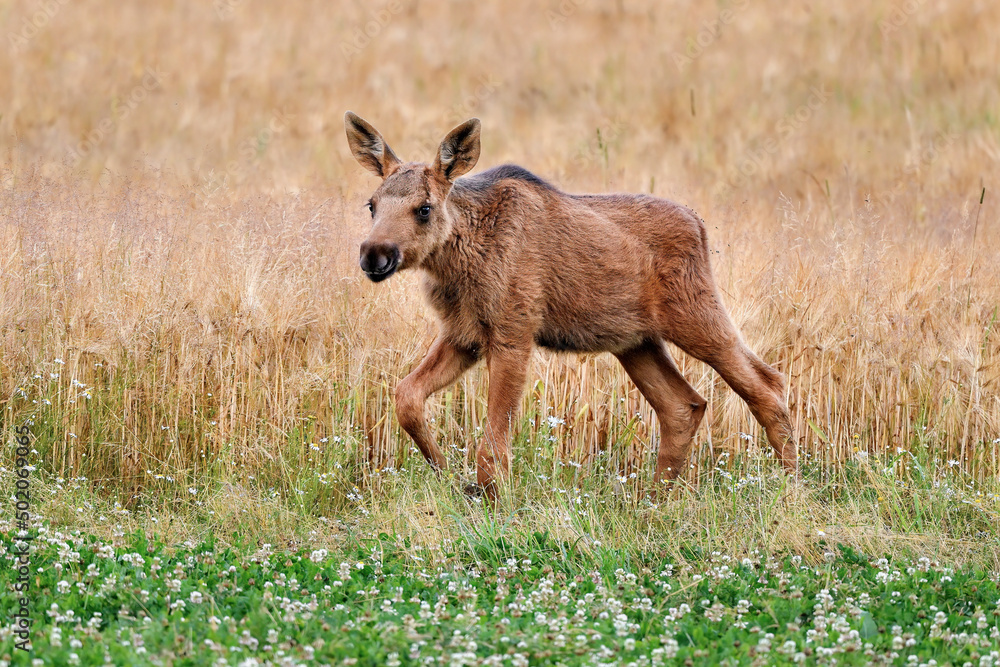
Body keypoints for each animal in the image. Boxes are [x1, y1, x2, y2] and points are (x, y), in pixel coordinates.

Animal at [344, 111, 796, 503]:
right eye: (372, 204)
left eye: (424, 208)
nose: (374, 255)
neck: (457, 263)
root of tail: (699, 225)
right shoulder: (463, 334)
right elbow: (406, 397)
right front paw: (444, 470)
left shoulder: (513, 331)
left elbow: (493, 443)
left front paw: (492, 501)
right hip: (636, 341)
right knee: (684, 406)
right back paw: (652, 498)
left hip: (697, 317)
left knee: (768, 385)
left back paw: (790, 486)